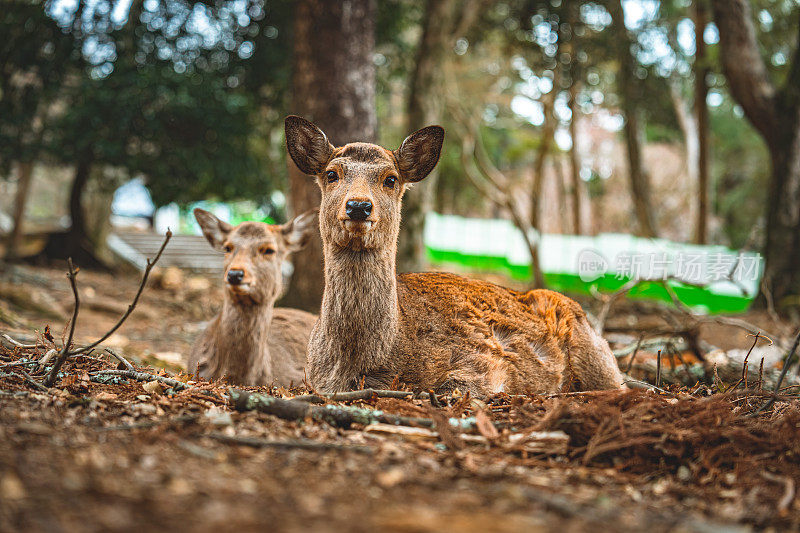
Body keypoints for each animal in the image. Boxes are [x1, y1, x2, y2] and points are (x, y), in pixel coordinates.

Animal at [284, 114, 628, 392]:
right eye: (331, 174)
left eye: (390, 179)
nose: (358, 206)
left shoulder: (485, 363)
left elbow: (452, 385)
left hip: (596, 359)